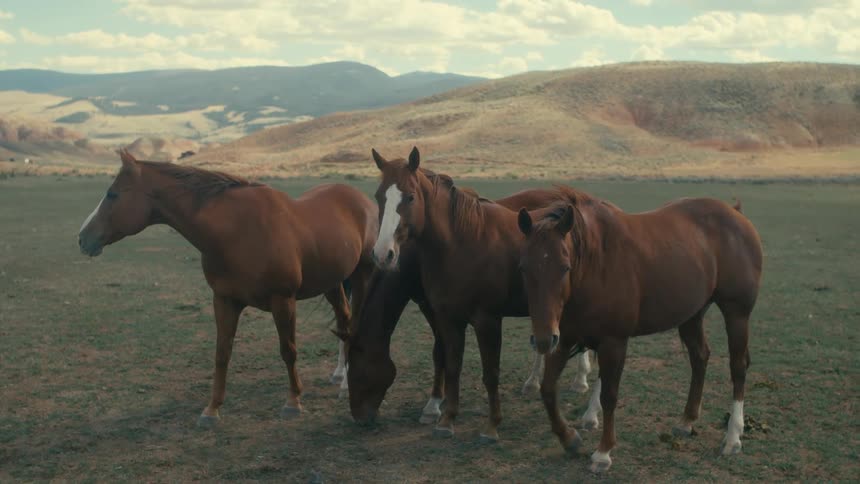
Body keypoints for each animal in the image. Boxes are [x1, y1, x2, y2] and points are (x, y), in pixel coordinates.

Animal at [78, 150, 378, 426]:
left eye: (112, 194)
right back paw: (341, 376)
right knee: (344, 321)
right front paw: (211, 410)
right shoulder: (224, 300)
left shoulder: (283, 301)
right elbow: (222, 354)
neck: (235, 231)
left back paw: (347, 385)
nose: (82, 238)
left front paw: (293, 401)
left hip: (361, 276)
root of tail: (360, 199)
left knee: (354, 323)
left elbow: (288, 350)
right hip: (333, 282)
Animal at [361, 147, 581, 441]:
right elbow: (452, 365)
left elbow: (490, 373)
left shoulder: (487, 321)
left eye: (410, 196)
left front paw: (491, 425)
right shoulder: (447, 317)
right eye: (378, 196)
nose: (383, 253)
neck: (462, 243)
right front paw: (447, 419)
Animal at [516, 186, 762, 472]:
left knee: (738, 367)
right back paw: (687, 420)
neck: (596, 263)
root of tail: (735, 214)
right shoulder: (565, 338)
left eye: (564, 267)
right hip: (691, 315)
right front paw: (569, 439)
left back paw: (733, 437)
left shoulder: (613, 341)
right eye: (524, 268)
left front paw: (603, 453)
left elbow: (609, 396)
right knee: (700, 356)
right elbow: (547, 389)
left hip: (736, 314)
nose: (543, 339)